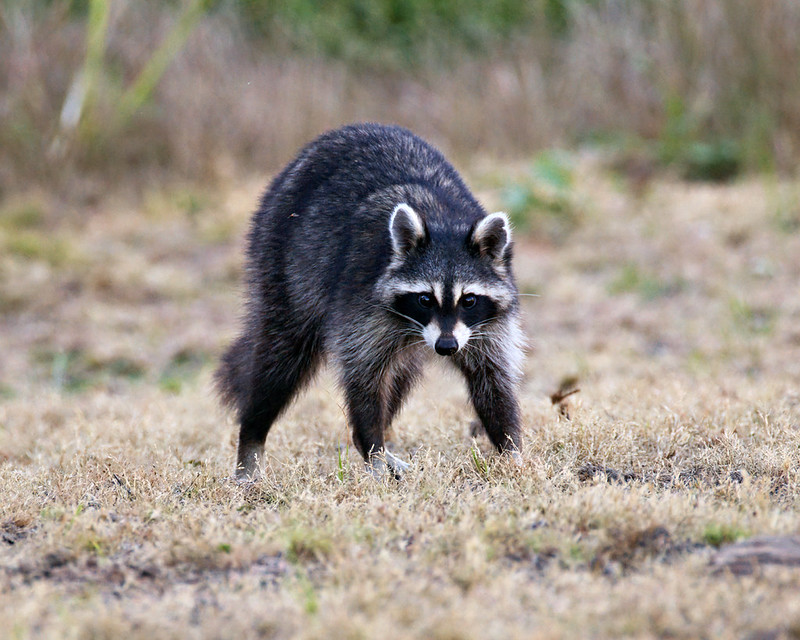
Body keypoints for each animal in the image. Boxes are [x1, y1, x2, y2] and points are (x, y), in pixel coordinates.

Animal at [216, 123, 525, 481]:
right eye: (425, 299)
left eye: (469, 300)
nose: (446, 347)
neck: (443, 221)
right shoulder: (361, 302)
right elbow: (364, 378)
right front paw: (373, 451)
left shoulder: (487, 325)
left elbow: (491, 379)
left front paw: (511, 452)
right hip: (280, 256)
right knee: (280, 361)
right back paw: (252, 441)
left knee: (401, 374)